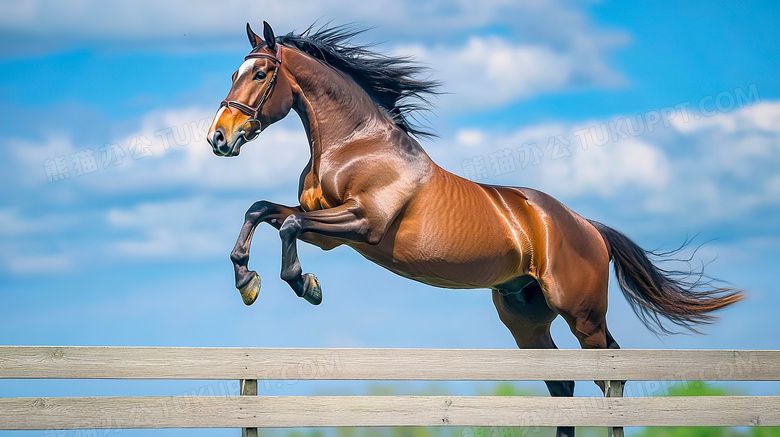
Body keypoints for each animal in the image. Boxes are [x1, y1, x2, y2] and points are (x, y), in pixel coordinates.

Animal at [207, 21, 744, 436]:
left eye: (260, 73)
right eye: (234, 72)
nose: (219, 138)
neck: (355, 143)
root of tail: (586, 226)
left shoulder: (363, 223)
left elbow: (289, 224)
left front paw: (305, 285)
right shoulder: (329, 233)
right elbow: (263, 211)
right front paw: (246, 280)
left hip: (583, 314)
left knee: (610, 374)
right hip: (526, 319)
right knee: (564, 383)